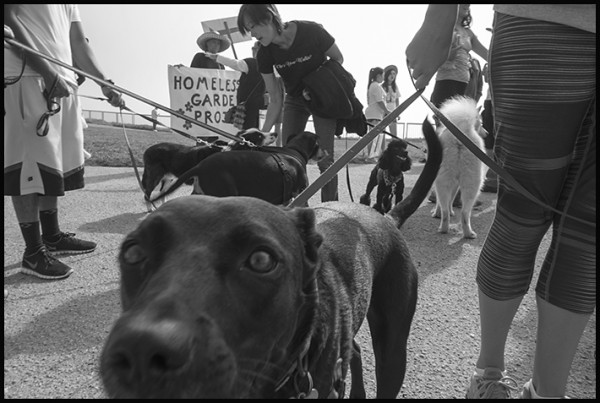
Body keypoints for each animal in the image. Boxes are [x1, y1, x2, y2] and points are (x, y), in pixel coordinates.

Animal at [434, 96, 486, 238]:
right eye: (481, 124)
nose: (487, 132)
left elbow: (447, 201)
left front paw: (439, 213)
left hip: (446, 179)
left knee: (448, 211)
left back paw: (446, 228)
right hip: (471, 182)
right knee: (464, 212)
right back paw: (466, 233)